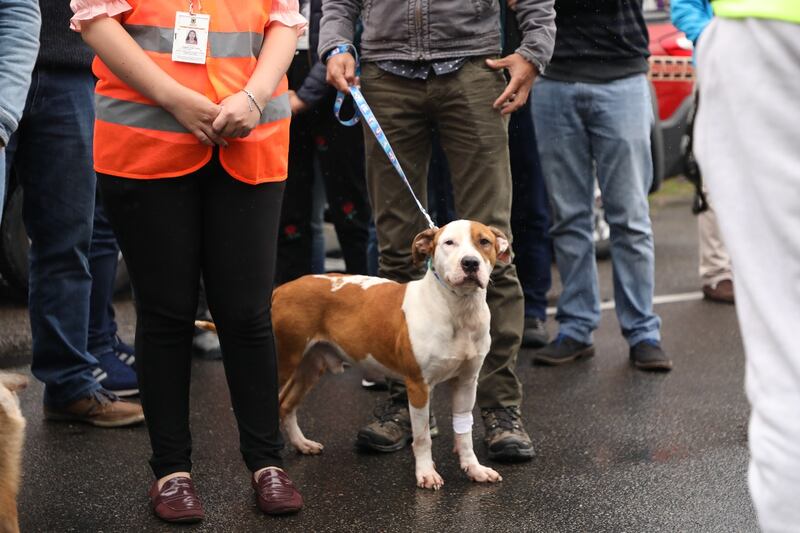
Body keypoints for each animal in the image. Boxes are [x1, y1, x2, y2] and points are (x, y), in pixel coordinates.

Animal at [197, 218, 510, 488]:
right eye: (448, 243)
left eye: (484, 241)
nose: (470, 263)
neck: (458, 310)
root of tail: (281, 289)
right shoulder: (418, 385)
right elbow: (422, 437)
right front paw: (426, 474)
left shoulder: (467, 382)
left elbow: (464, 431)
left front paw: (474, 468)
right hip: (282, 362)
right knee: (272, 403)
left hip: (310, 366)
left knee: (286, 405)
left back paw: (302, 445)